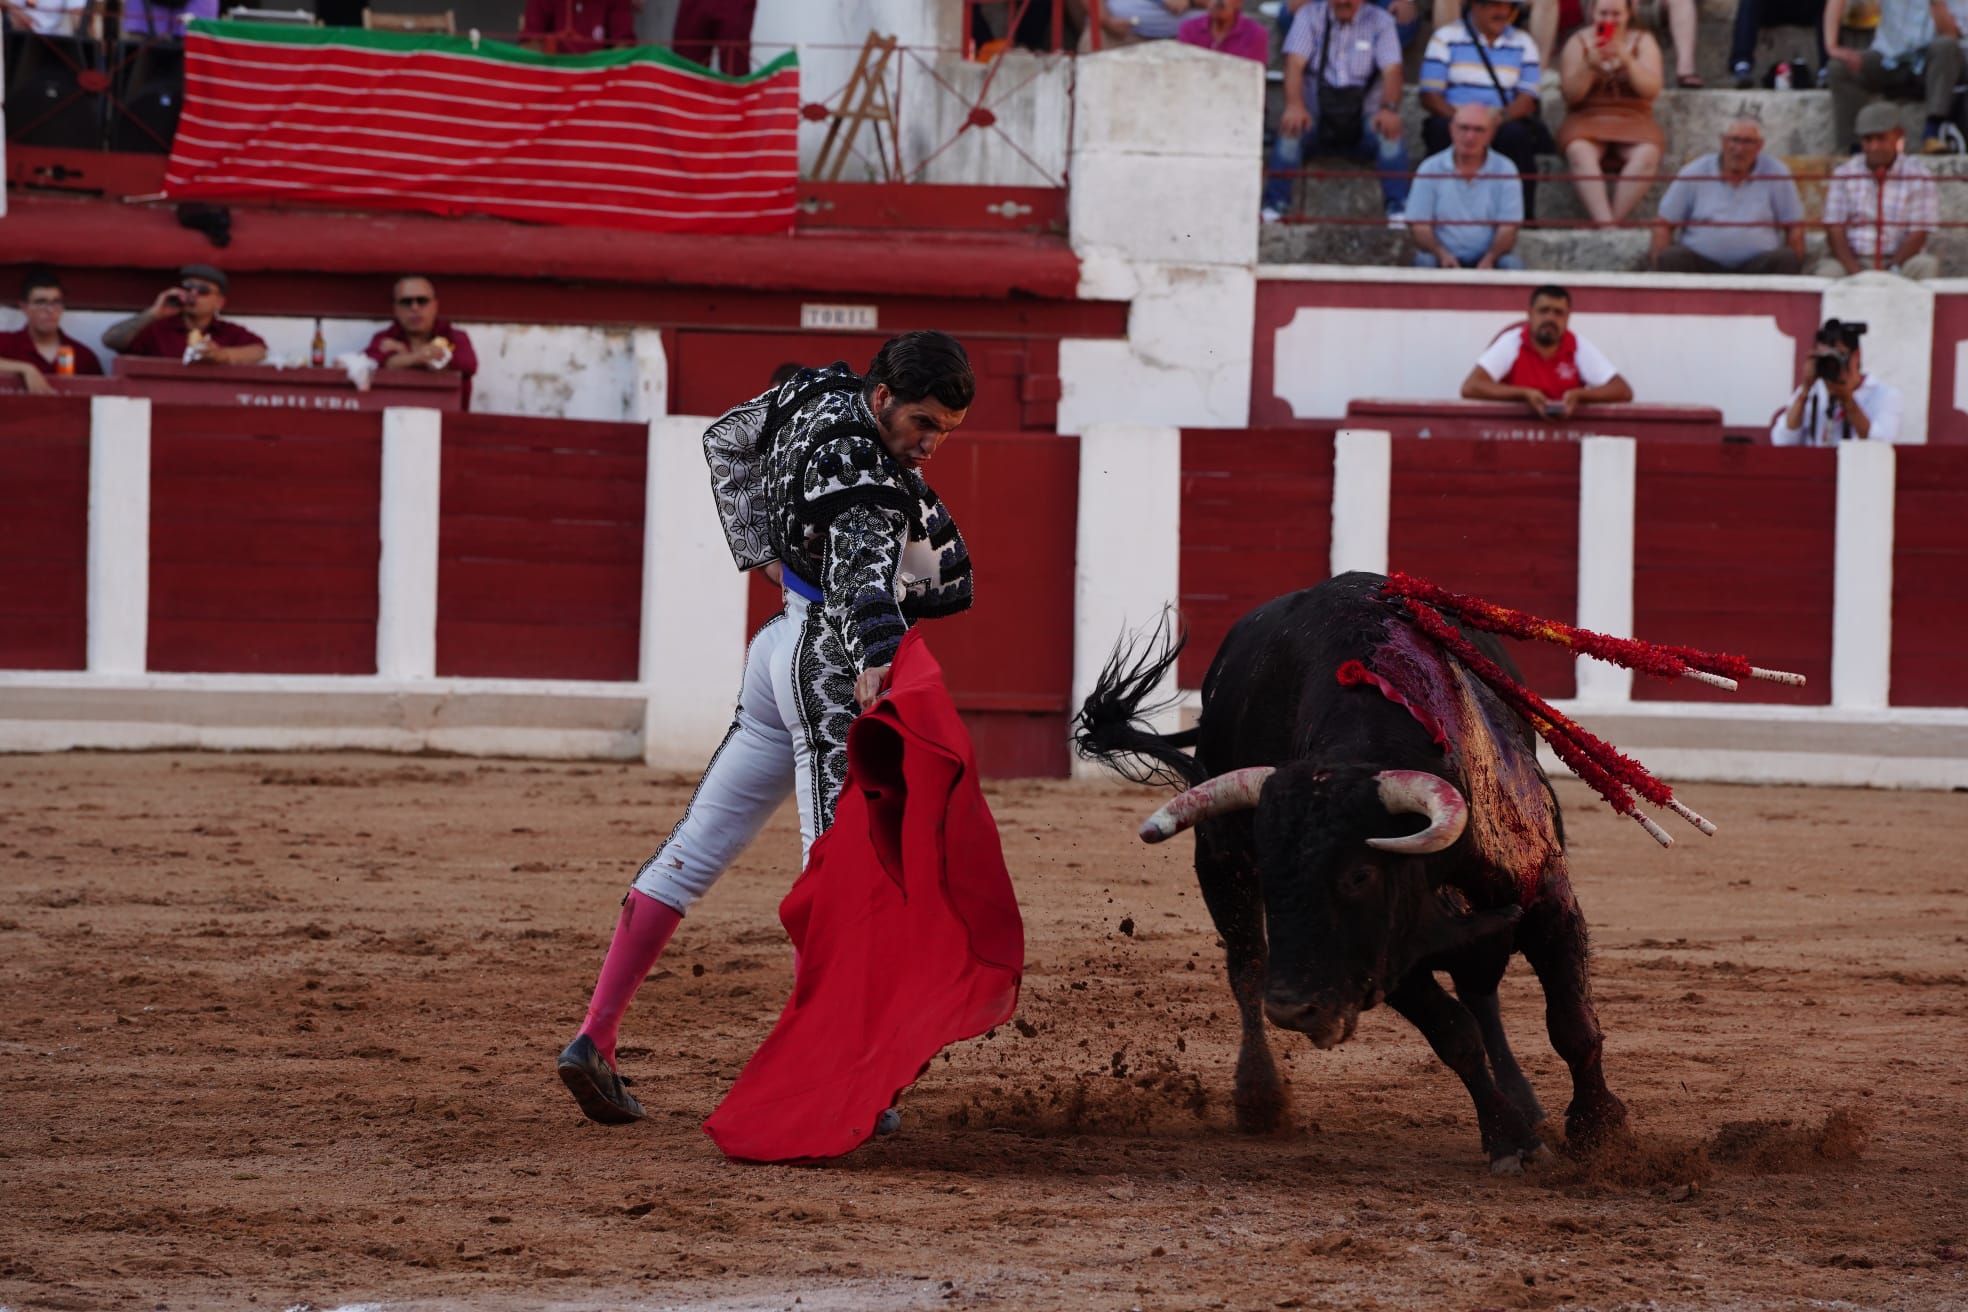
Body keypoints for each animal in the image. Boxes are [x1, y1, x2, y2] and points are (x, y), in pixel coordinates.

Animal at [1078, 574, 1629, 1172]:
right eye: (1274, 872)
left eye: (1360, 875)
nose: (1295, 1008)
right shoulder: (1386, 955)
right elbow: (1455, 1035)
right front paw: (1511, 1141)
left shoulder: (1546, 897)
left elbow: (1571, 1026)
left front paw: (1599, 1131)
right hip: (1221, 868)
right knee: (1248, 967)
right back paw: (1259, 1097)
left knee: (1481, 990)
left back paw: (1527, 1102)